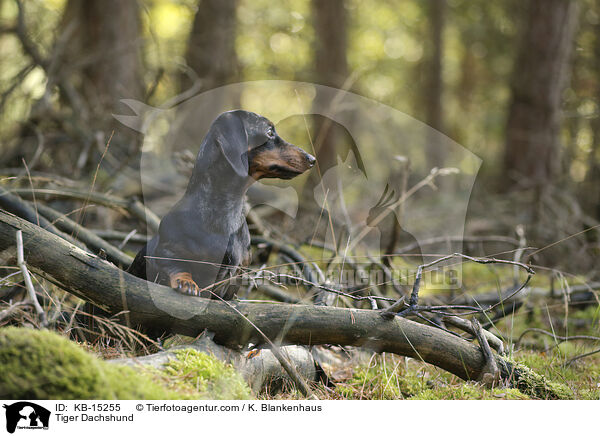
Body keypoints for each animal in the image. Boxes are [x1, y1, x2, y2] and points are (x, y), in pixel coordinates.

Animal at [129, 110, 316, 300]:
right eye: (269, 131)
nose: (312, 159)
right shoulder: (166, 254)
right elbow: (177, 267)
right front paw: (186, 282)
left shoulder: (235, 279)